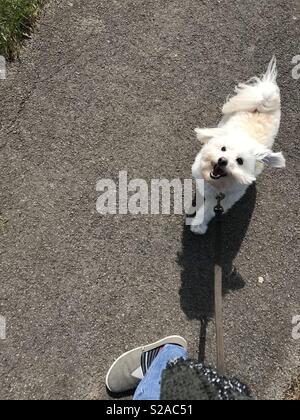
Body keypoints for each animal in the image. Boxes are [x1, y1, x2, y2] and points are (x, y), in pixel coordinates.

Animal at [191, 57, 284, 235]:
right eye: (223, 149)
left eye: (240, 161)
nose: (222, 161)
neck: (217, 184)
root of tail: (262, 104)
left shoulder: (226, 200)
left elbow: (208, 210)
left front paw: (198, 225)